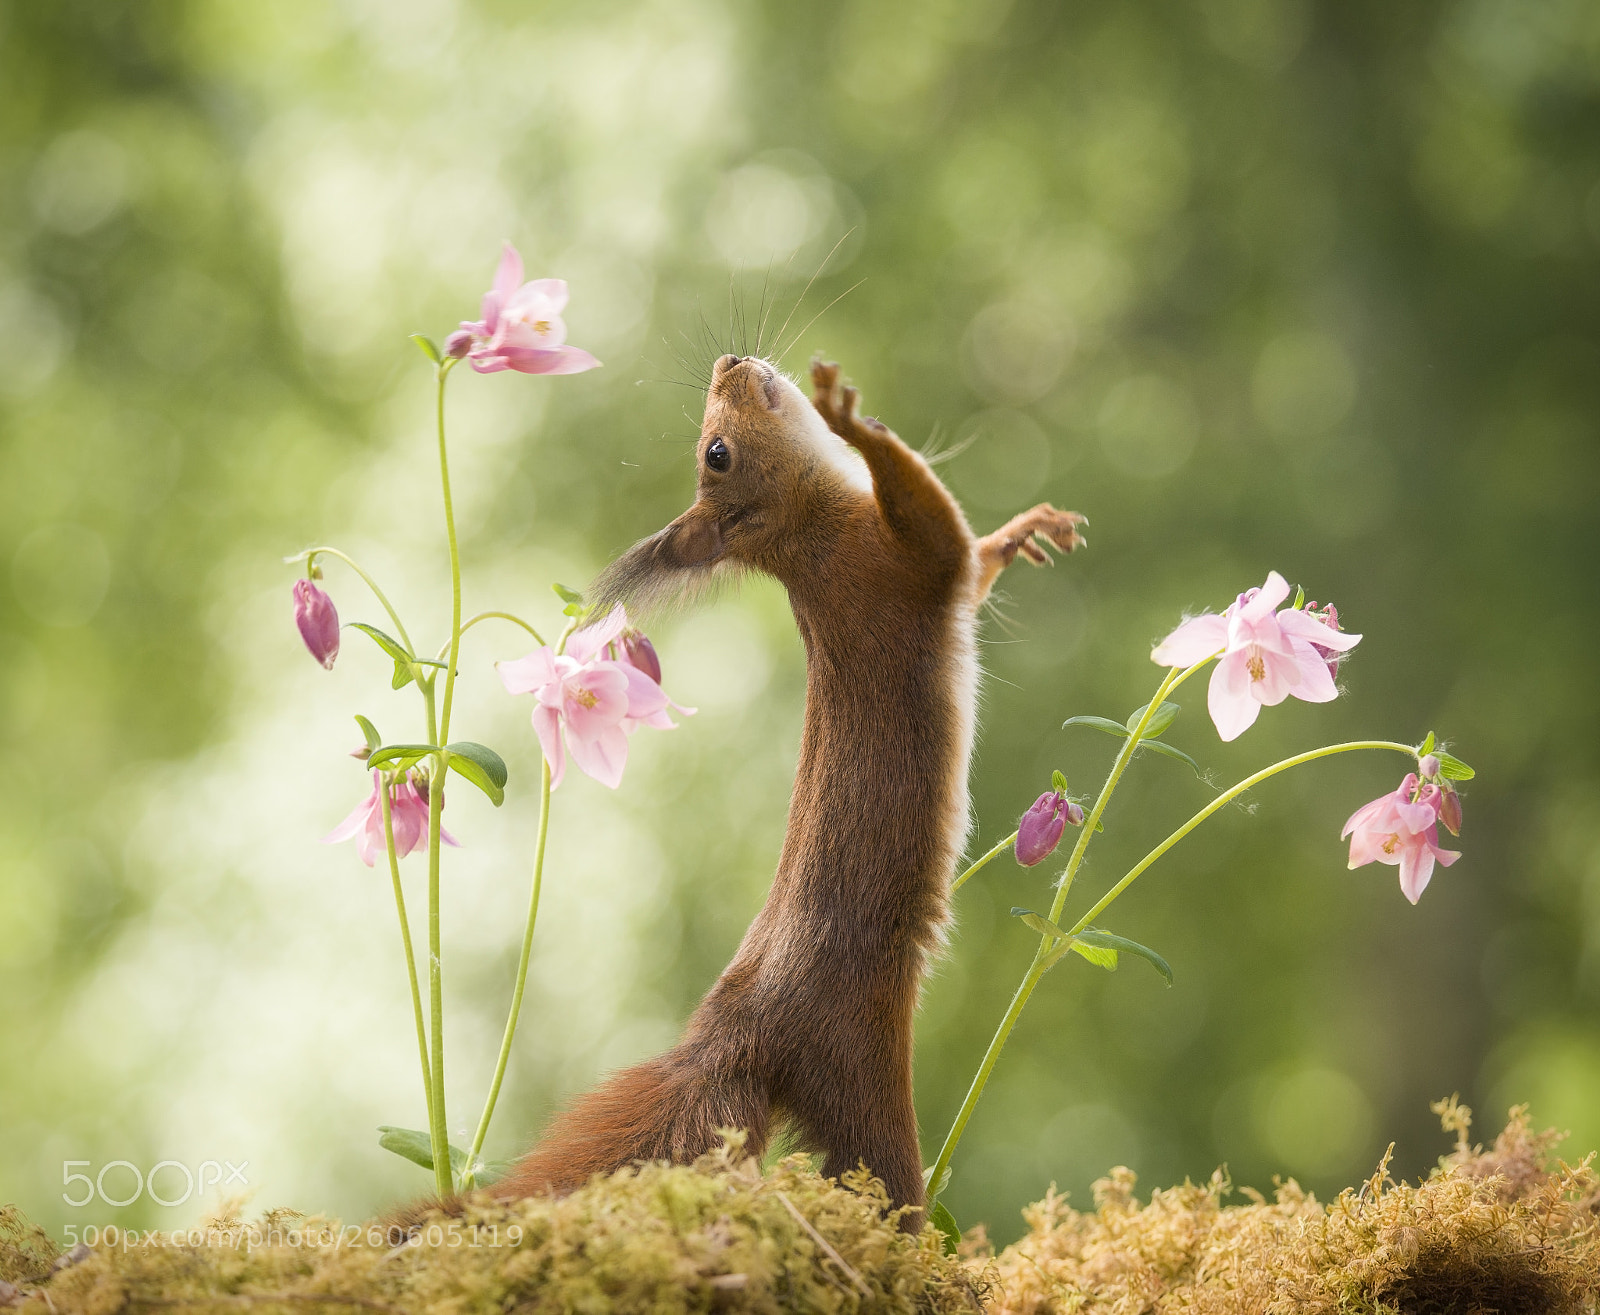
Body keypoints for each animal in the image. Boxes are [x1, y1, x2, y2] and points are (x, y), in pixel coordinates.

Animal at [471, 355, 1085, 1227]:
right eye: (716, 453)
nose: (729, 362)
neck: (806, 536)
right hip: (859, 1073)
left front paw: (1027, 527)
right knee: (883, 1185)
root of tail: (736, 1032)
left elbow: (975, 557)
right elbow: (933, 521)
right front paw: (851, 418)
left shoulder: (923, 568)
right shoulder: (897, 559)